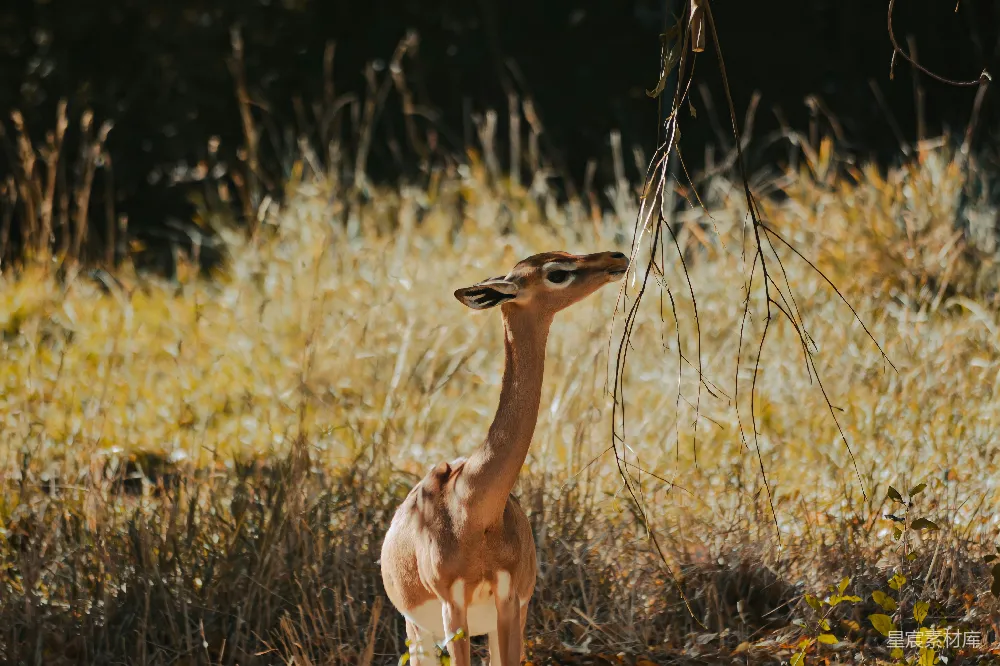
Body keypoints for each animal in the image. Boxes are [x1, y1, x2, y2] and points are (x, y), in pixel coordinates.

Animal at [380, 250, 629, 666]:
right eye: (557, 272)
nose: (617, 257)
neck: (473, 509)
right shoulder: (454, 607)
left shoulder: (509, 601)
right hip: (419, 631)